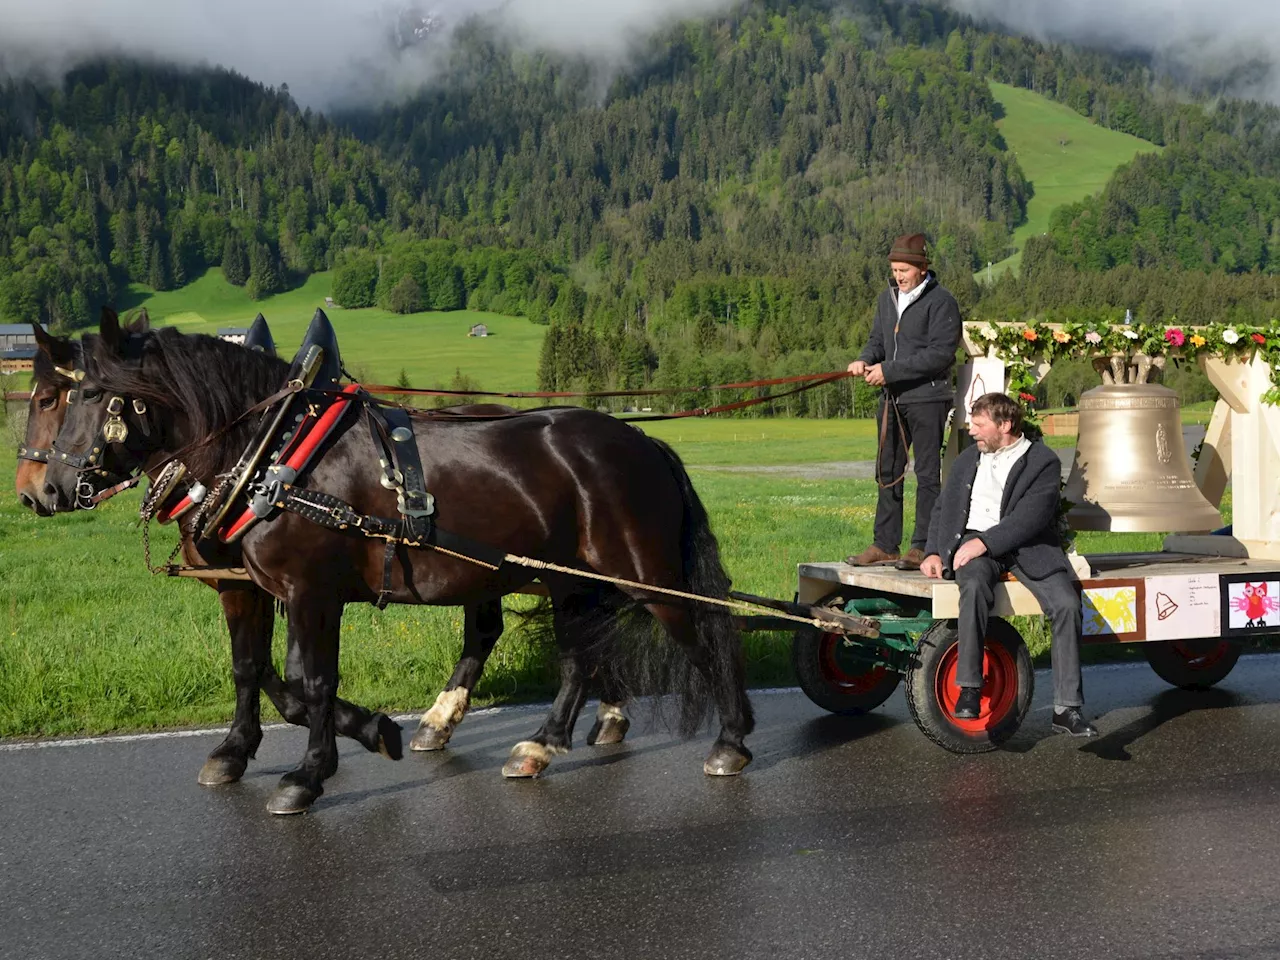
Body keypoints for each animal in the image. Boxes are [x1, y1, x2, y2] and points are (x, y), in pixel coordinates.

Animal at [40, 312, 752, 814]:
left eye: (89, 397)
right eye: (56, 398)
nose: (46, 489)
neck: (275, 451)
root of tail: (643, 440)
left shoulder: (310, 593)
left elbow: (310, 681)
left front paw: (311, 773)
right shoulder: (253, 587)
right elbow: (260, 671)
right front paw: (336, 738)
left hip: (645, 576)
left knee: (702, 635)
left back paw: (730, 739)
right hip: (572, 581)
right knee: (578, 656)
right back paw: (542, 744)